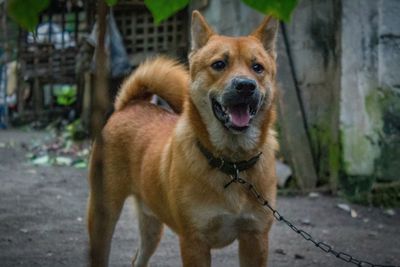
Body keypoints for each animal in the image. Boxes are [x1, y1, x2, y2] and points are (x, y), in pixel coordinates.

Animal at [86, 9, 278, 266]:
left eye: (257, 67)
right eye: (219, 64)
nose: (246, 86)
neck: (232, 165)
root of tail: (131, 104)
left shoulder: (255, 239)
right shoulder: (193, 242)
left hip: (151, 227)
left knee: (138, 259)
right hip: (103, 215)